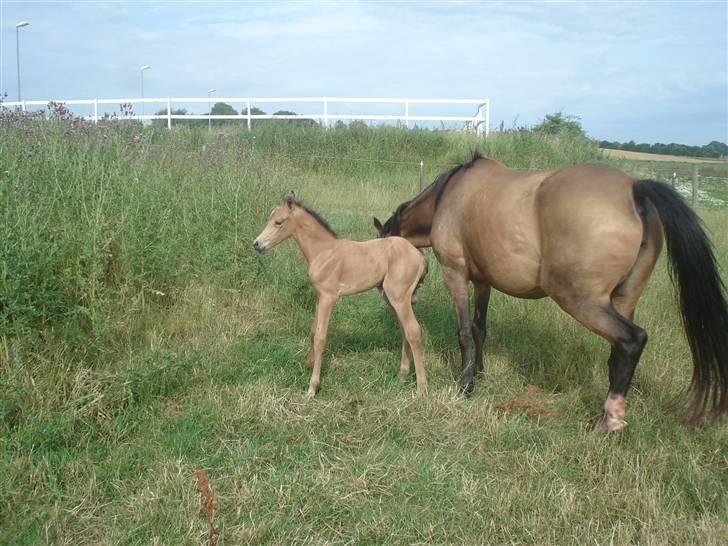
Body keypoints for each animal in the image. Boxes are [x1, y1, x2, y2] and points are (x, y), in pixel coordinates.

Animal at [255, 196, 430, 396]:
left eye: (278, 222)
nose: (257, 244)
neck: (323, 251)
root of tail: (419, 256)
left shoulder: (328, 297)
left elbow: (321, 337)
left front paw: (312, 387)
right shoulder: (319, 296)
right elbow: (313, 331)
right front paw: (308, 363)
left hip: (398, 296)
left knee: (413, 331)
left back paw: (421, 388)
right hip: (390, 297)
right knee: (404, 330)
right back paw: (402, 375)